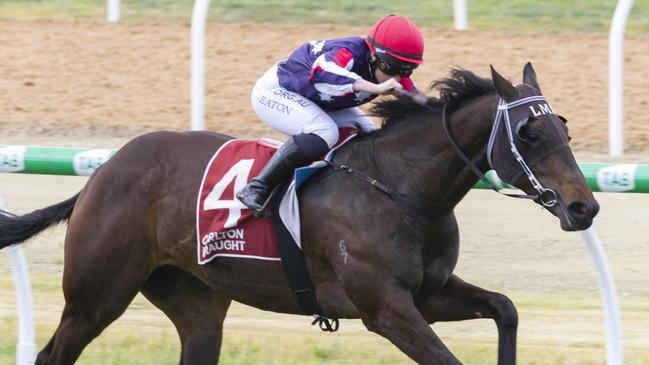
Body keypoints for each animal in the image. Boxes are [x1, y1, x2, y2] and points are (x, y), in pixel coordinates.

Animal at [0, 63, 596, 364]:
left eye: (563, 126)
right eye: (530, 132)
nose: (584, 206)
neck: (401, 187)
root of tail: (101, 173)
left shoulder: (428, 293)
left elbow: (505, 309)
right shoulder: (384, 309)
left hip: (196, 303)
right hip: (96, 295)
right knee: (54, 353)